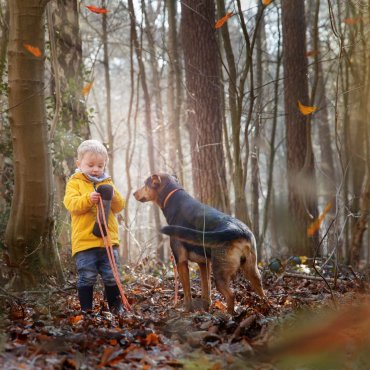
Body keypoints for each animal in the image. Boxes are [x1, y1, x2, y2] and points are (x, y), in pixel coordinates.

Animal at [134, 173, 266, 312]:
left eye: (145, 184)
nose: (134, 193)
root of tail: (239, 230)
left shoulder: (181, 261)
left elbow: (187, 291)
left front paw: (188, 310)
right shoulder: (204, 263)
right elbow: (206, 289)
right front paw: (205, 308)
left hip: (220, 273)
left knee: (231, 296)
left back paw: (229, 315)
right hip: (252, 270)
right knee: (261, 291)